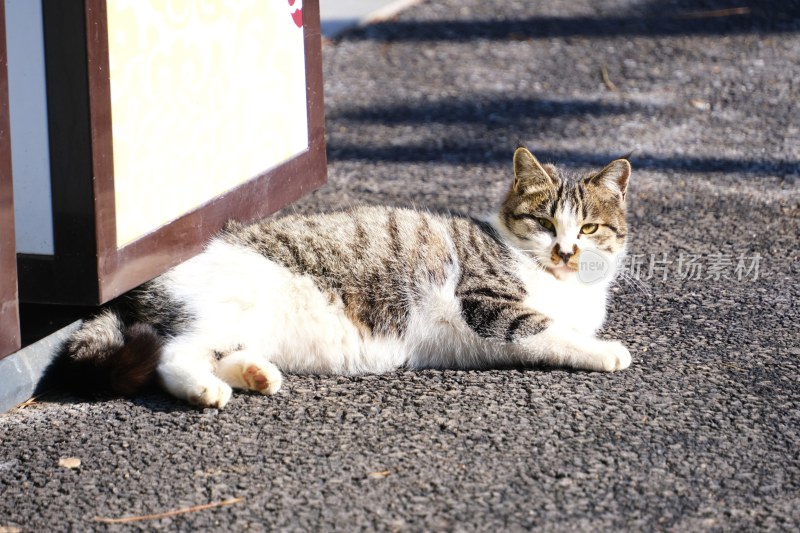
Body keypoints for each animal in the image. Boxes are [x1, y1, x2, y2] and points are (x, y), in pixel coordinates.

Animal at [62, 148, 636, 410]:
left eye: (588, 227)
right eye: (545, 222)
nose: (566, 251)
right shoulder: (489, 302)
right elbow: (549, 330)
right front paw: (607, 351)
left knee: (212, 352)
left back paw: (256, 374)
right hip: (220, 309)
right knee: (170, 356)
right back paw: (207, 391)